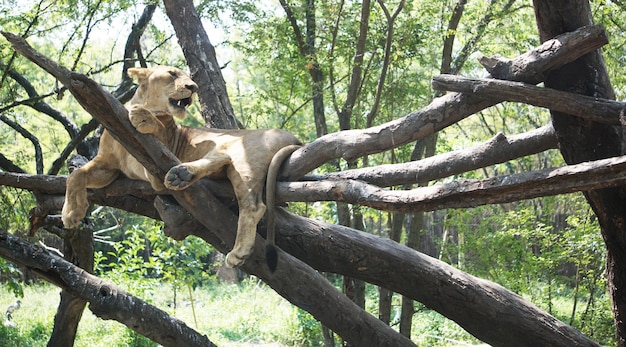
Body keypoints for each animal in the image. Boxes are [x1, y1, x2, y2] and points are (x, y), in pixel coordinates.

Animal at [63, 66, 300, 272]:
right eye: (172, 73)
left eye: (190, 78)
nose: (193, 87)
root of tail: (293, 137)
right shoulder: (107, 166)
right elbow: (75, 176)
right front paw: (71, 214)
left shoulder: (162, 152)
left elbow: (157, 133)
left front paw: (143, 117)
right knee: (221, 162)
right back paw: (181, 175)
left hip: (241, 154)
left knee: (253, 205)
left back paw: (238, 250)